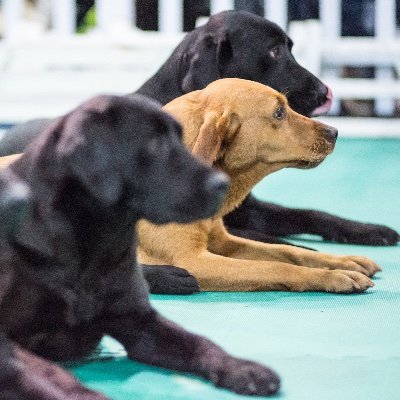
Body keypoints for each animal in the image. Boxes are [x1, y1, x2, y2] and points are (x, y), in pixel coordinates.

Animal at [0, 95, 280, 398]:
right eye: (155, 145)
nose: (222, 184)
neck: (90, 242)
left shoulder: (140, 321)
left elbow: (199, 342)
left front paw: (243, 368)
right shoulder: (10, 346)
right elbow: (50, 377)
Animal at [138, 77, 382, 290]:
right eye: (279, 112)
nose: (334, 132)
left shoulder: (224, 241)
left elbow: (290, 251)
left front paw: (344, 261)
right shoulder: (190, 260)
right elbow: (276, 267)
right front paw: (332, 276)